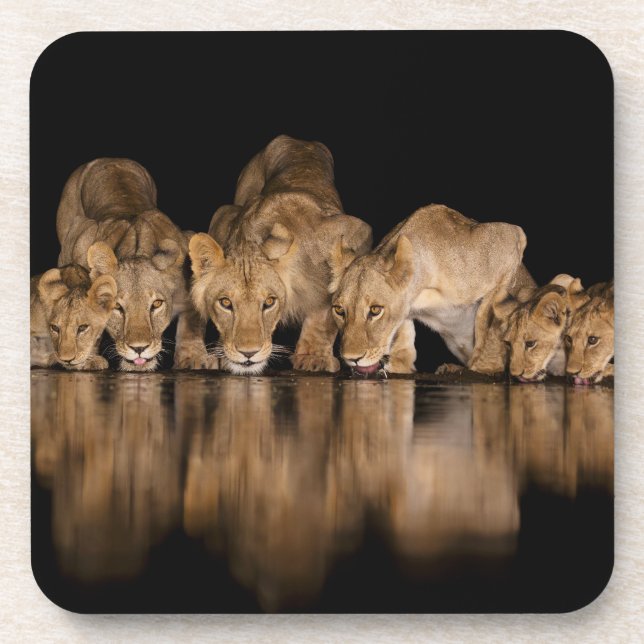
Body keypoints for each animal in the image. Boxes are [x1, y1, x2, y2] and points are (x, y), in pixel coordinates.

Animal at [56, 157, 215, 371]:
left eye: (156, 304)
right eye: (117, 306)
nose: (139, 348)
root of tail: (110, 158)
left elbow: (192, 323)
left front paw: (194, 357)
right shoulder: (81, 243)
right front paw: (87, 358)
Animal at [189, 135, 372, 375]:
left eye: (269, 302)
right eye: (225, 303)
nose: (248, 353)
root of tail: (299, 140)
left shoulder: (356, 232)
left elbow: (325, 314)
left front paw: (314, 357)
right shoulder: (224, 215)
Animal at [330, 203, 534, 375]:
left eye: (375, 310)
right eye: (339, 310)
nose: (351, 359)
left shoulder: (512, 238)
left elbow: (487, 318)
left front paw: (483, 367)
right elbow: (404, 327)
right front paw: (400, 364)